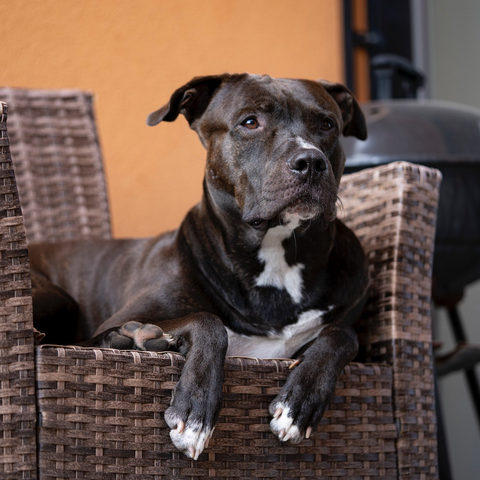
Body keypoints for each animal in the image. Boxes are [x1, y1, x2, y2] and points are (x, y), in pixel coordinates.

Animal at [31, 73, 368, 460]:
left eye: (327, 125)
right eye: (250, 122)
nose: (310, 161)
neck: (276, 255)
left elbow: (344, 334)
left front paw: (300, 404)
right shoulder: (115, 322)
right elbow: (209, 323)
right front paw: (195, 413)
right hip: (61, 300)